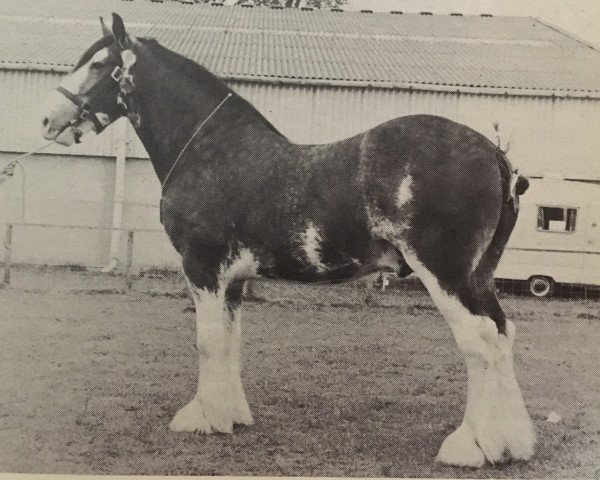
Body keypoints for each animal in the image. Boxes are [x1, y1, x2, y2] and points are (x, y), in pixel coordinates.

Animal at [41, 13, 536, 466]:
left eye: (99, 64)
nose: (48, 120)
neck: (211, 150)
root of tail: (494, 153)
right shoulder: (233, 280)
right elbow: (230, 339)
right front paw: (231, 415)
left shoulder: (201, 268)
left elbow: (207, 341)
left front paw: (202, 419)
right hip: (479, 276)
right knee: (501, 333)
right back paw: (512, 443)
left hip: (444, 273)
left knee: (477, 341)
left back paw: (469, 447)